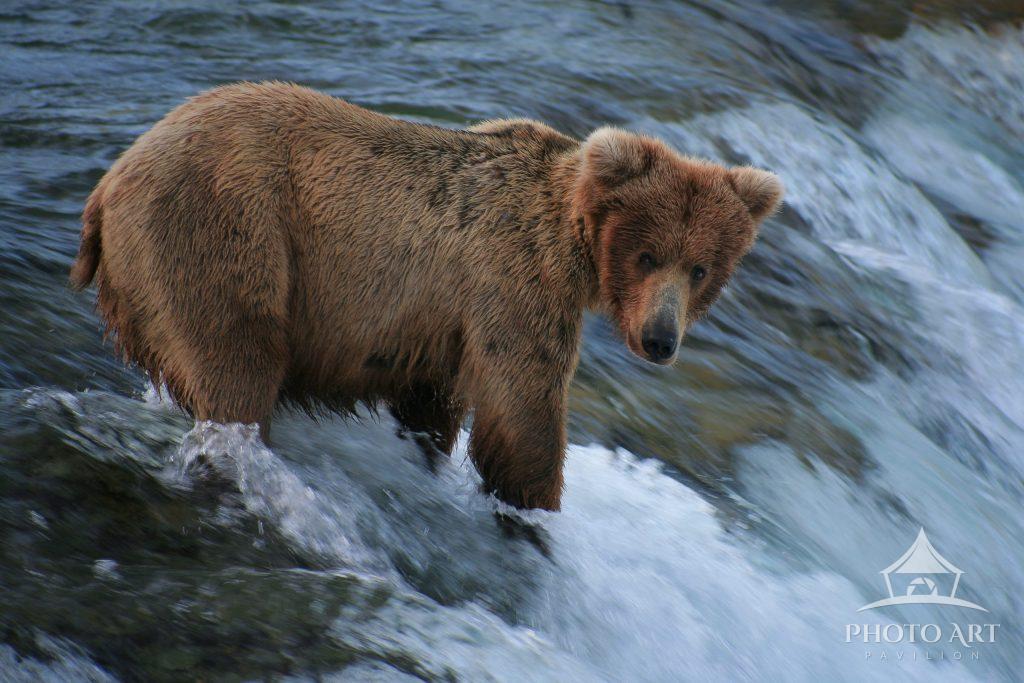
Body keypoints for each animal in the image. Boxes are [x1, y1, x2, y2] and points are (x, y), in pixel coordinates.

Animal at [70, 82, 782, 511]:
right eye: (648, 255)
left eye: (702, 268)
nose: (661, 340)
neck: (573, 239)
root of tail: (110, 183)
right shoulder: (514, 279)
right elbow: (522, 410)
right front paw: (535, 507)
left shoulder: (444, 321)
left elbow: (434, 401)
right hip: (223, 229)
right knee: (236, 359)